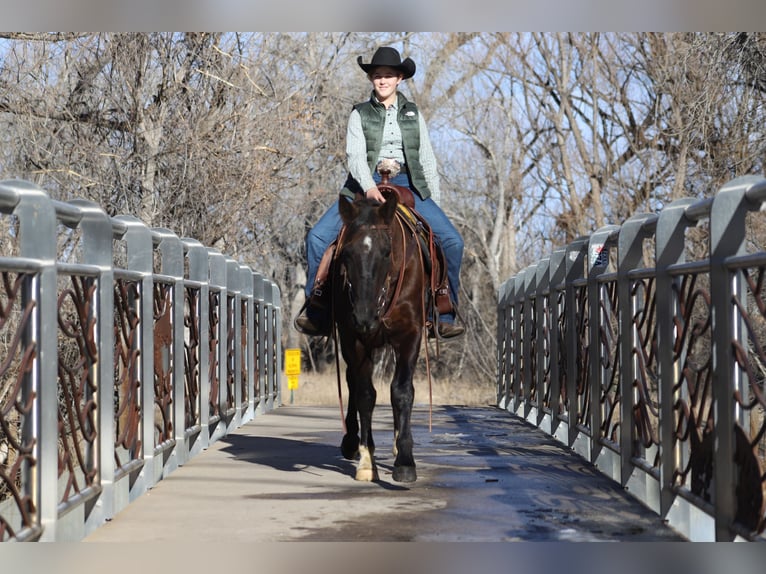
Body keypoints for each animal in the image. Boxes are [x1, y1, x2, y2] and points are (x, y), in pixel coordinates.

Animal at [334, 191, 428, 484]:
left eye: (387, 252)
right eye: (346, 254)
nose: (364, 317)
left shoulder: (410, 334)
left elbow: (402, 391)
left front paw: (405, 460)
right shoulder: (353, 338)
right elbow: (365, 394)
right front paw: (367, 462)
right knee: (353, 382)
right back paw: (352, 442)